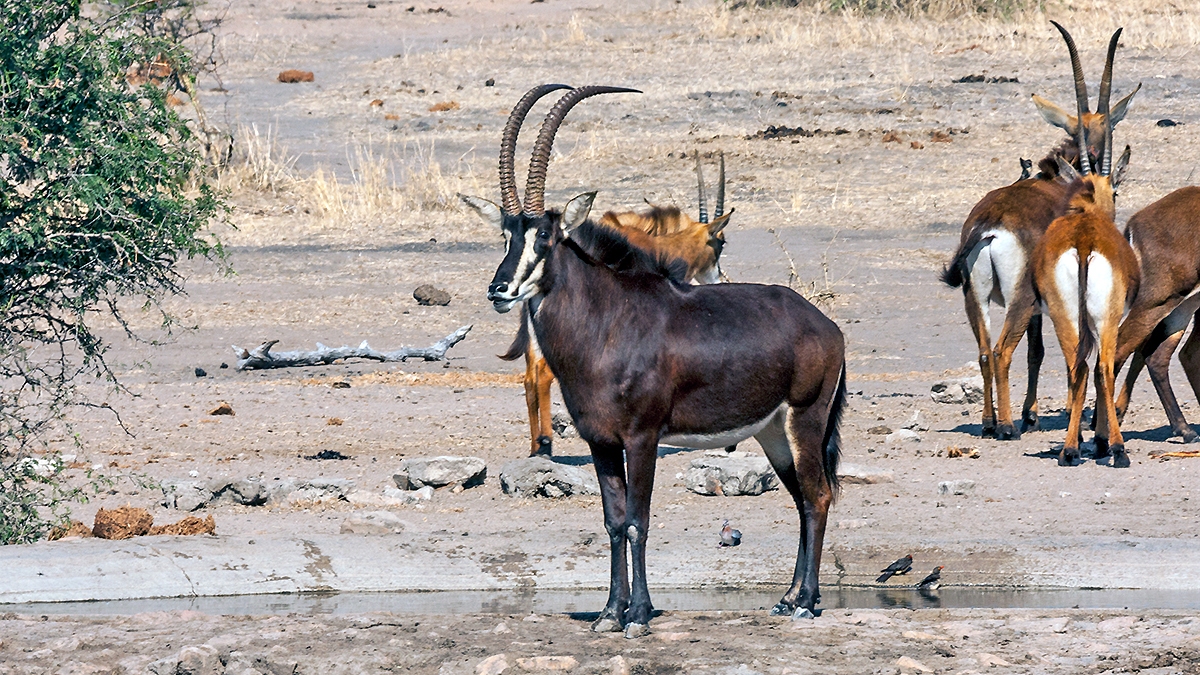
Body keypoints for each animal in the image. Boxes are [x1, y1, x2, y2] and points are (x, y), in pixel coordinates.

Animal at [496, 153, 733, 457]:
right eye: (721, 243)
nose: (720, 278)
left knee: (529, 377)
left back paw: (537, 446)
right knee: (544, 375)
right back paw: (546, 442)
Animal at [941, 22, 1139, 440]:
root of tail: (989, 227)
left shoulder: (1036, 308)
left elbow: (1037, 352)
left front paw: (1033, 413)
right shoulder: (1044, 302)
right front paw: (1042, 414)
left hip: (975, 297)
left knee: (985, 352)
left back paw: (988, 422)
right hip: (1019, 299)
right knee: (1002, 351)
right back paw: (1006, 426)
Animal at [1108, 187, 1200, 442]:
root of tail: (1136, 221)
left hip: (1182, 306)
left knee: (1161, 356)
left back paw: (1184, 429)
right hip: (1158, 301)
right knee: (1119, 350)